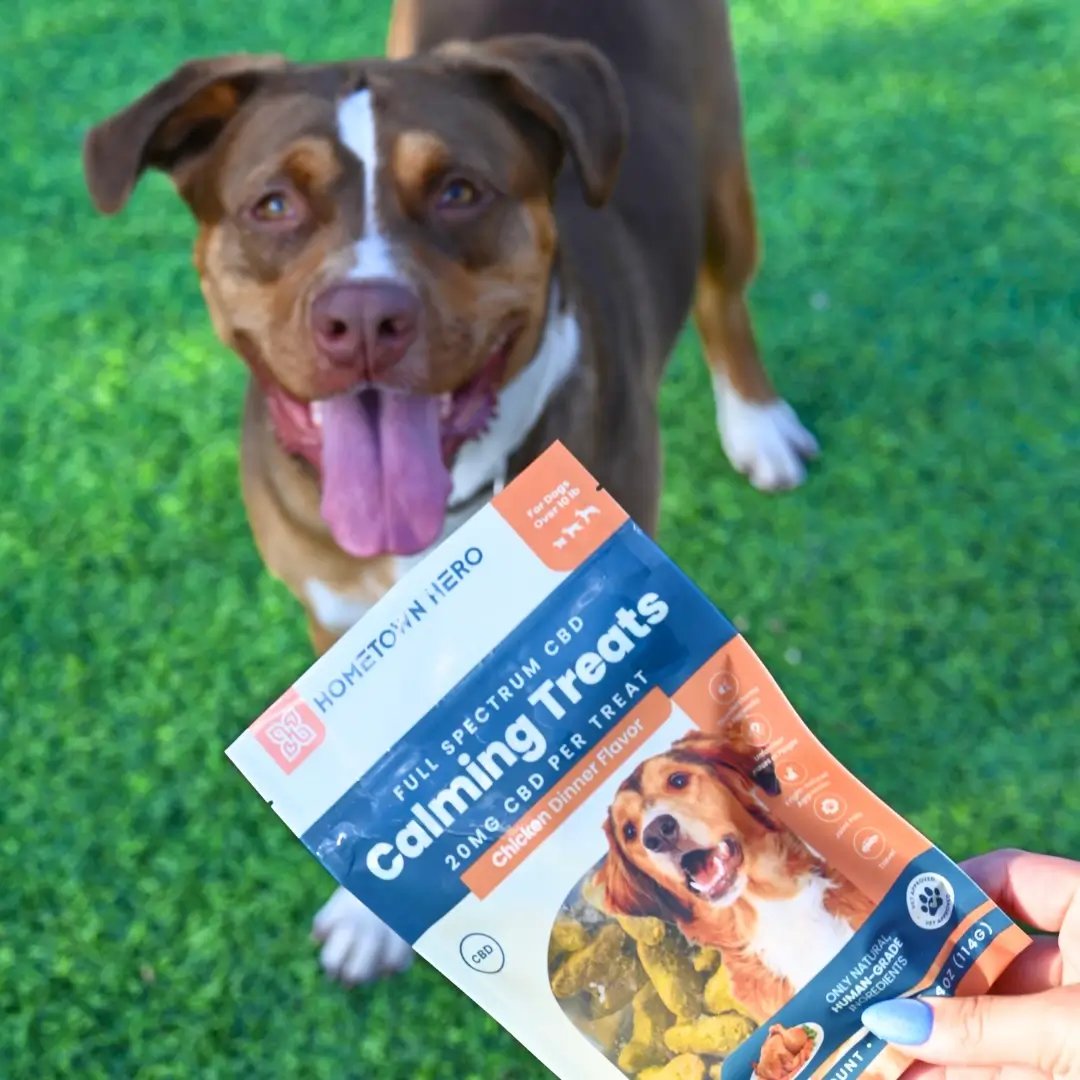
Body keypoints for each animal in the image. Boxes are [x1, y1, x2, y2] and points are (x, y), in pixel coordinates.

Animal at [82, 0, 816, 984]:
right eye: (273, 205)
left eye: (459, 191)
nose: (362, 316)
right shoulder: (336, 631)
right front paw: (374, 917)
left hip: (723, 181)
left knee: (721, 296)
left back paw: (757, 422)